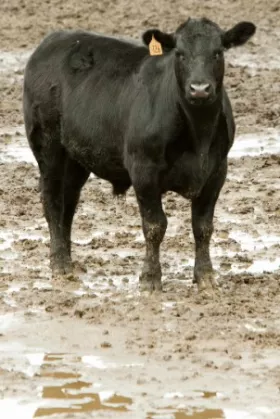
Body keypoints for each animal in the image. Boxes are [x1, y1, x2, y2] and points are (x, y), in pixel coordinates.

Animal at [23, 18, 256, 292]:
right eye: (180, 54)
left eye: (217, 52)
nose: (199, 89)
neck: (198, 135)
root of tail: (53, 39)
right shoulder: (143, 170)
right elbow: (155, 226)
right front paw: (150, 278)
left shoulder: (216, 172)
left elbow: (203, 226)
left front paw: (206, 277)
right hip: (47, 147)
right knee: (52, 201)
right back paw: (59, 264)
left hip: (76, 157)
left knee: (68, 204)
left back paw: (69, 262)